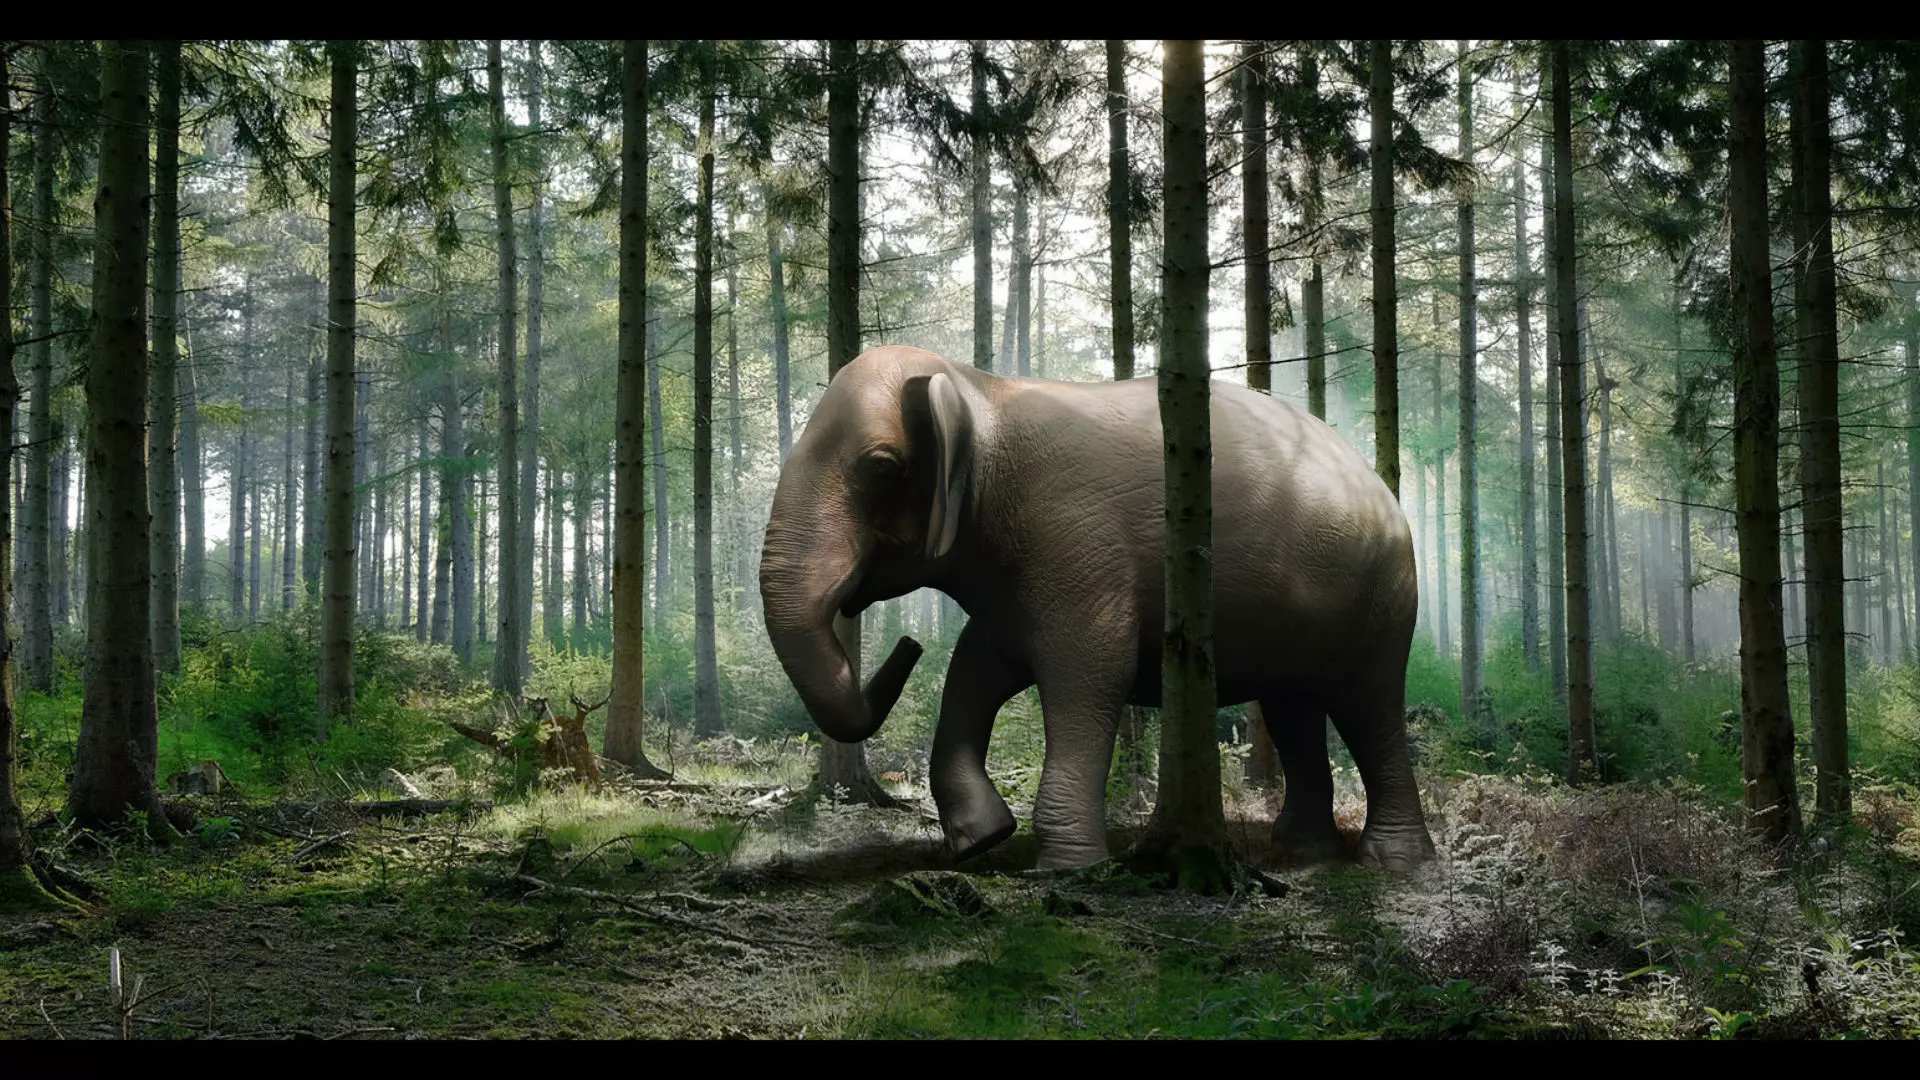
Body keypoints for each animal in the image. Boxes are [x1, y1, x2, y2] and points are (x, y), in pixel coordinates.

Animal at [759, 345, 1435, 872]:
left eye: (880, 465)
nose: (908, 645)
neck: (981, 389)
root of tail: (1381, 486)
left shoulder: (1075, 540)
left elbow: (1088, 671)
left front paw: (1067, 868)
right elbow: (974, 671)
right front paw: (983, 841)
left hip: (1385, 597)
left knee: (1369, 707)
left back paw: (1394, 864)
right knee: (1293, 707)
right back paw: (1302, 852)